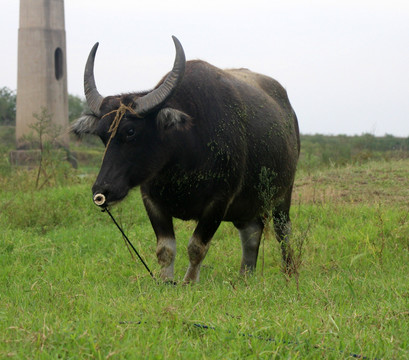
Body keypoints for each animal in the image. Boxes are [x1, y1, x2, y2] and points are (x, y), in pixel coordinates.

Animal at [71, 37, 300, 284]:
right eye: (102, 135)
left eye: (131, 131)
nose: (102, 191)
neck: (184, 157)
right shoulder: (152, 200)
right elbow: (165, 249)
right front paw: (166, 281)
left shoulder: (219, 201)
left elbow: (197, 247)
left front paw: (189, 282)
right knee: (251, 232)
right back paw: (245, 277)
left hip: (283, 194)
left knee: (282, 231)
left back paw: (289, 272)